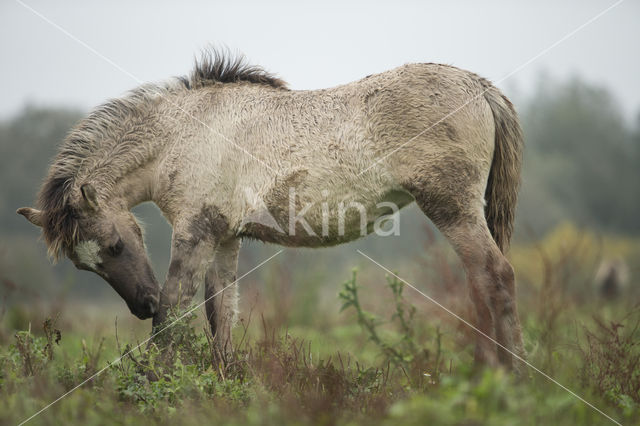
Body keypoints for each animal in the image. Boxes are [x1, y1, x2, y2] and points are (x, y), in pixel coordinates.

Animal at [17, 49, 524, 370]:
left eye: (117, 244)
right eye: (83, 265)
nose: (140, 304)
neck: (182, 132)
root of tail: (480, 86)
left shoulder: (195, 233)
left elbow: (174, 312)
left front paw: (154, 382)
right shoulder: (223, 237)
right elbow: (220, 314)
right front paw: (224, 384)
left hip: (452, 206)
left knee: (494, 277)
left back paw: (504, 374)